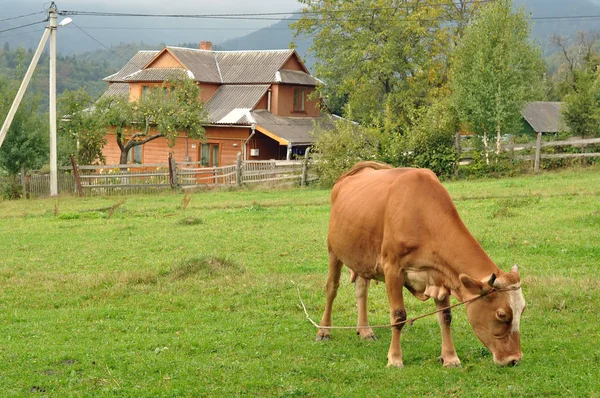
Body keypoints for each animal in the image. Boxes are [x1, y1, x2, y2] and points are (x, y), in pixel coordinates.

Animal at [318, 162, 524, 366]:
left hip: (362, 256)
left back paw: (365, 331)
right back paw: (324, 330)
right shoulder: (392, 269)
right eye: (501, 314)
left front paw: (450, 357)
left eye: (522, 309)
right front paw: (395, 358)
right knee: (331, 288)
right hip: (333, 250)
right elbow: (398, 316)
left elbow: (445, 316)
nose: (514, 359)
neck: (422, 215)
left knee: (361, 289)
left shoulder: (439, 274)